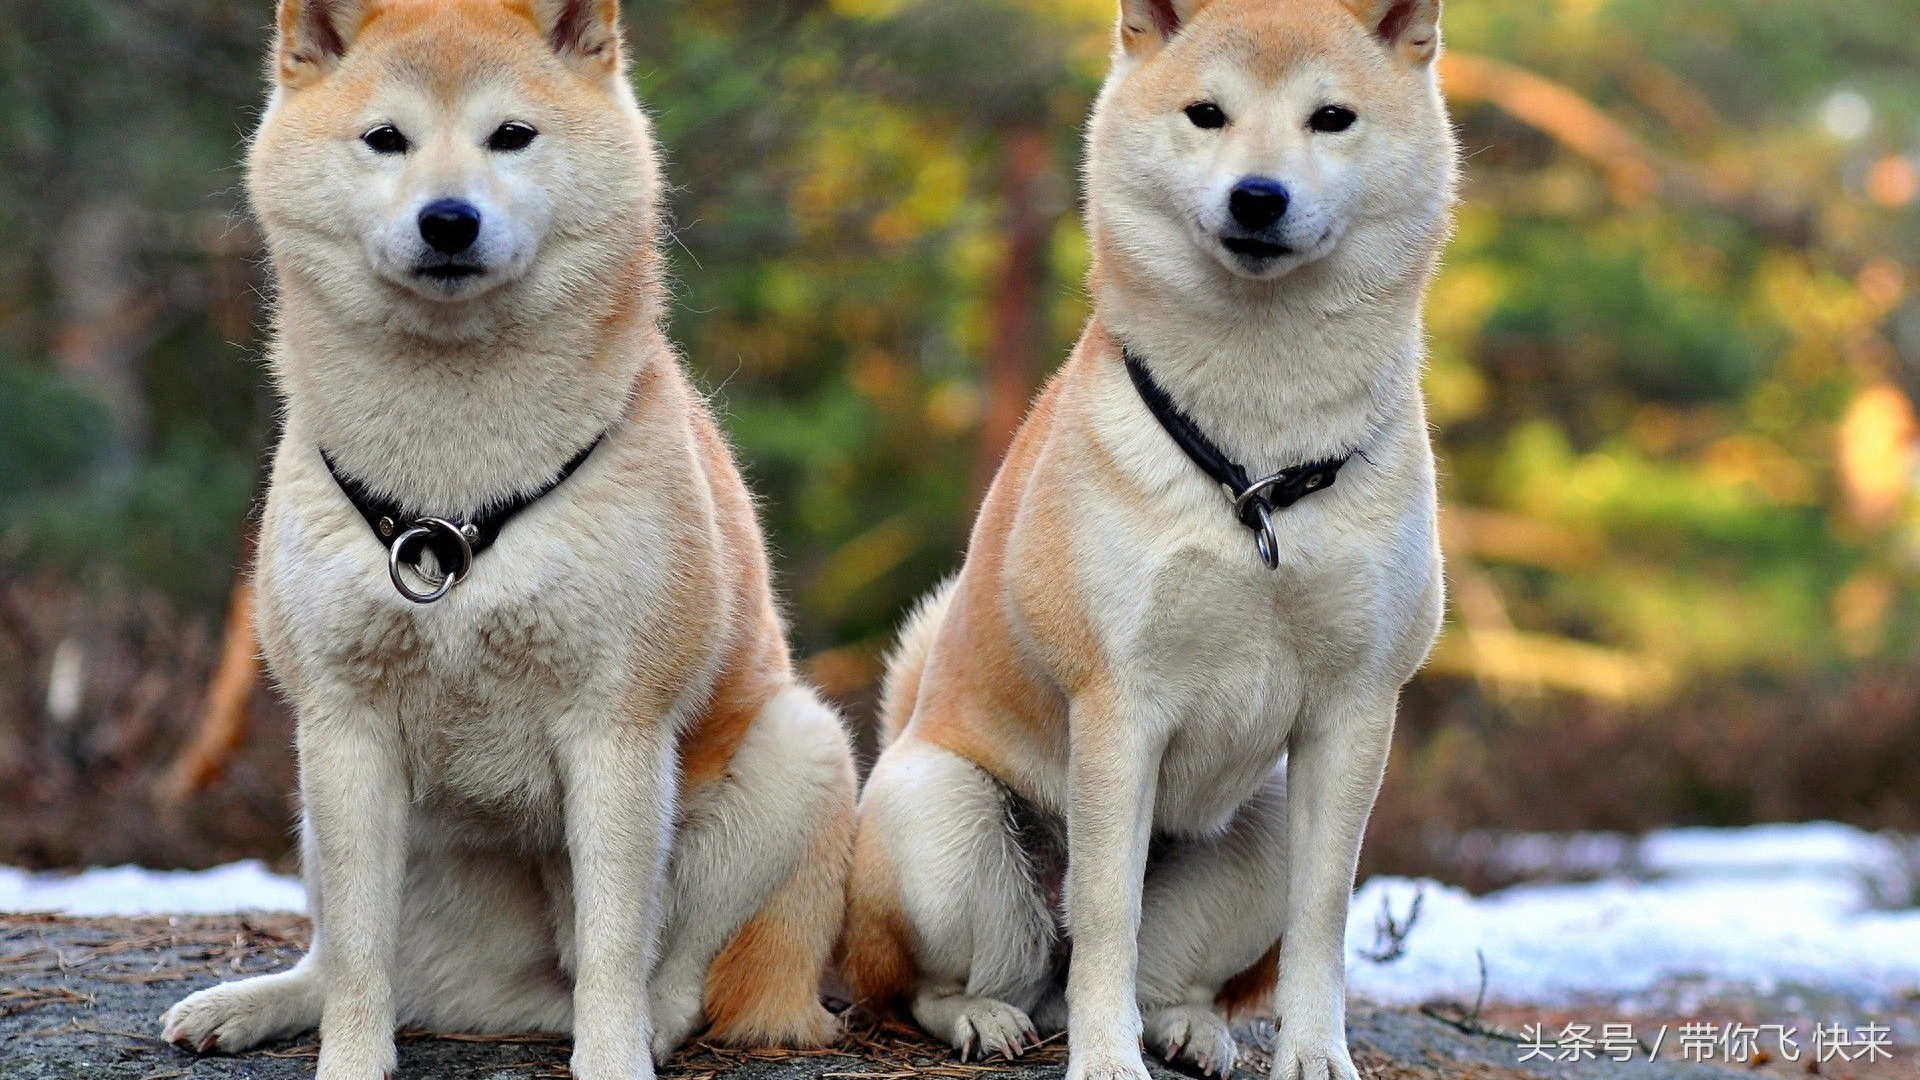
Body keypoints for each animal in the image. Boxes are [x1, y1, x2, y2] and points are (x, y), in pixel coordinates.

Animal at [161, 2, 852, 1076]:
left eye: (511, 136)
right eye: (387, 139)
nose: (449, 218)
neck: (452, 497)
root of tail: (499, 1005)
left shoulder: (616, 725)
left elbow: (613, 945)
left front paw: (612, 1061)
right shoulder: (344, 725)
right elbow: (358, 959)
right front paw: (349, 1061)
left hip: (798, 750)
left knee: (671, 978)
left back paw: (643, 1026)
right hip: (318, 807)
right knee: (346, 963)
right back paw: (256, 1002)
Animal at [840, 2, 1451, 1076]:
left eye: (1330, 118)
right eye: (1207, 114)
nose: (1259, 196)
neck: (1258, 464)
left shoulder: (1355, 708)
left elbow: (1325, 913)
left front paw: (1313, 1051)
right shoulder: (1118, 704)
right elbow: (1106, 910)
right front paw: (1104, 1057)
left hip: (1259, 829)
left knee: (1178, 978)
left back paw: (1191, 1027)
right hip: (940, 824)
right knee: (939, 982)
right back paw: (987, 1016)